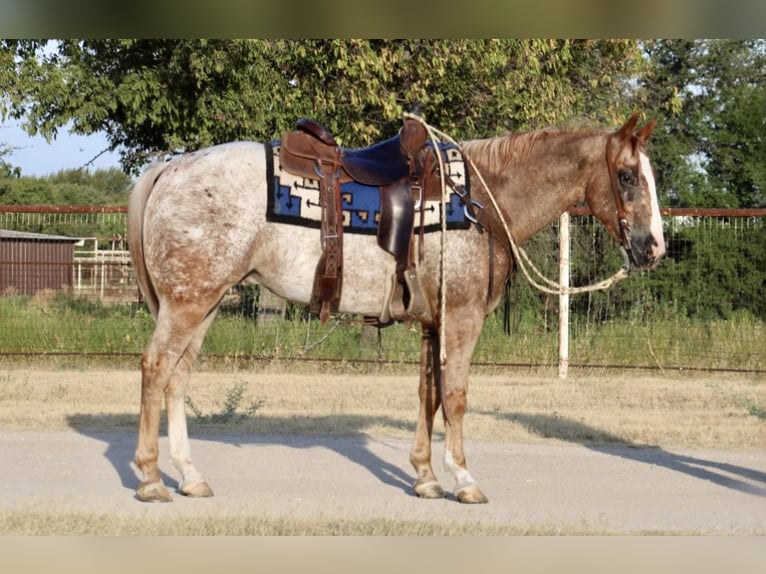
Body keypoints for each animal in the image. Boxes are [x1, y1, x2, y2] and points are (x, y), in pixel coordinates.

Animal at [126, 111, 664, 504]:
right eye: (627, 177)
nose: (653, 247)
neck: (483, 202)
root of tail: (170, 169)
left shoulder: (433, 323)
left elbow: (428, 395)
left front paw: (425, 477)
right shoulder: (462, 318)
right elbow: (457, 397)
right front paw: (463, 479)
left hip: (205, 301)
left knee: (177, 377)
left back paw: (190, 475)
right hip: (189, 302)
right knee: (155, 368)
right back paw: (151, 478)